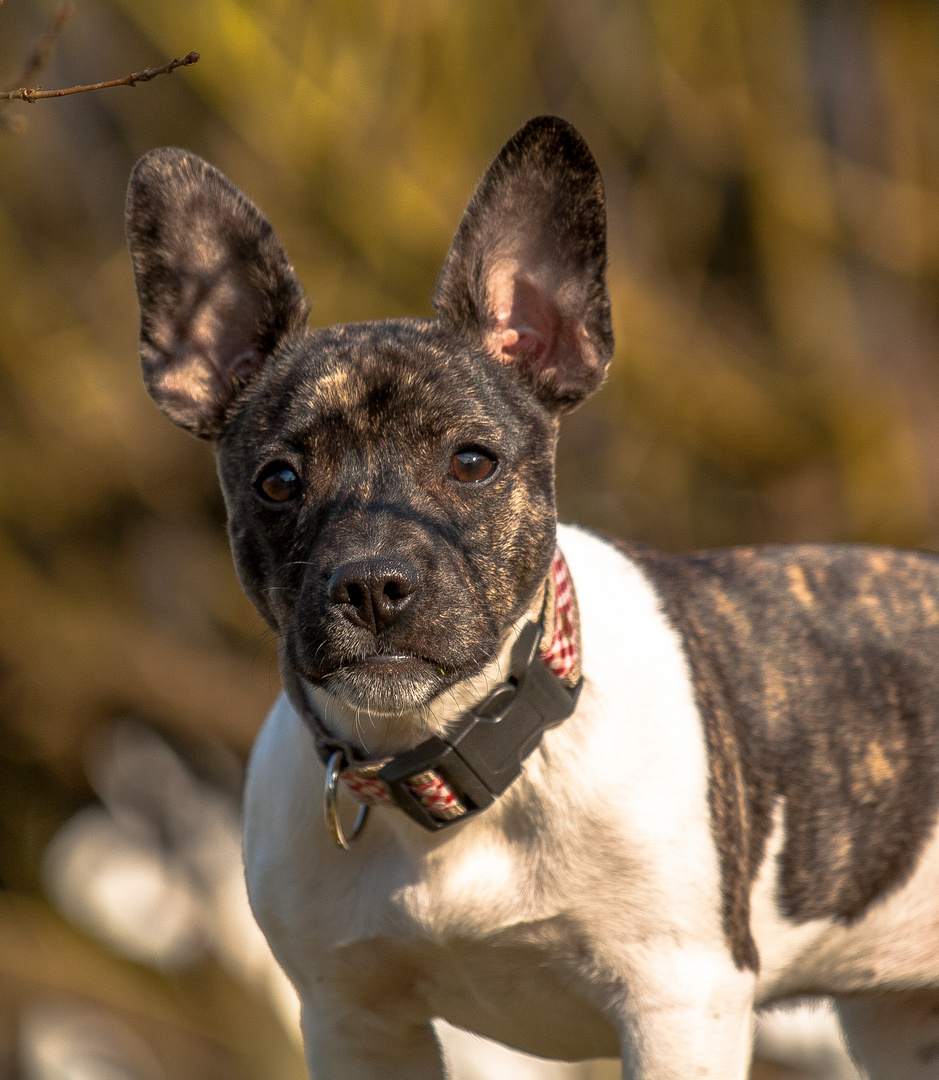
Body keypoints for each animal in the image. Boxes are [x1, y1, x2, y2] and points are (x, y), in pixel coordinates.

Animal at [128, 118, 937, 1080]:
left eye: (472, 462)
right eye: (278, 482)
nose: (370, 581)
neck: (455, 755)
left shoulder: (677, 1005)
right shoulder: (353, 1020)